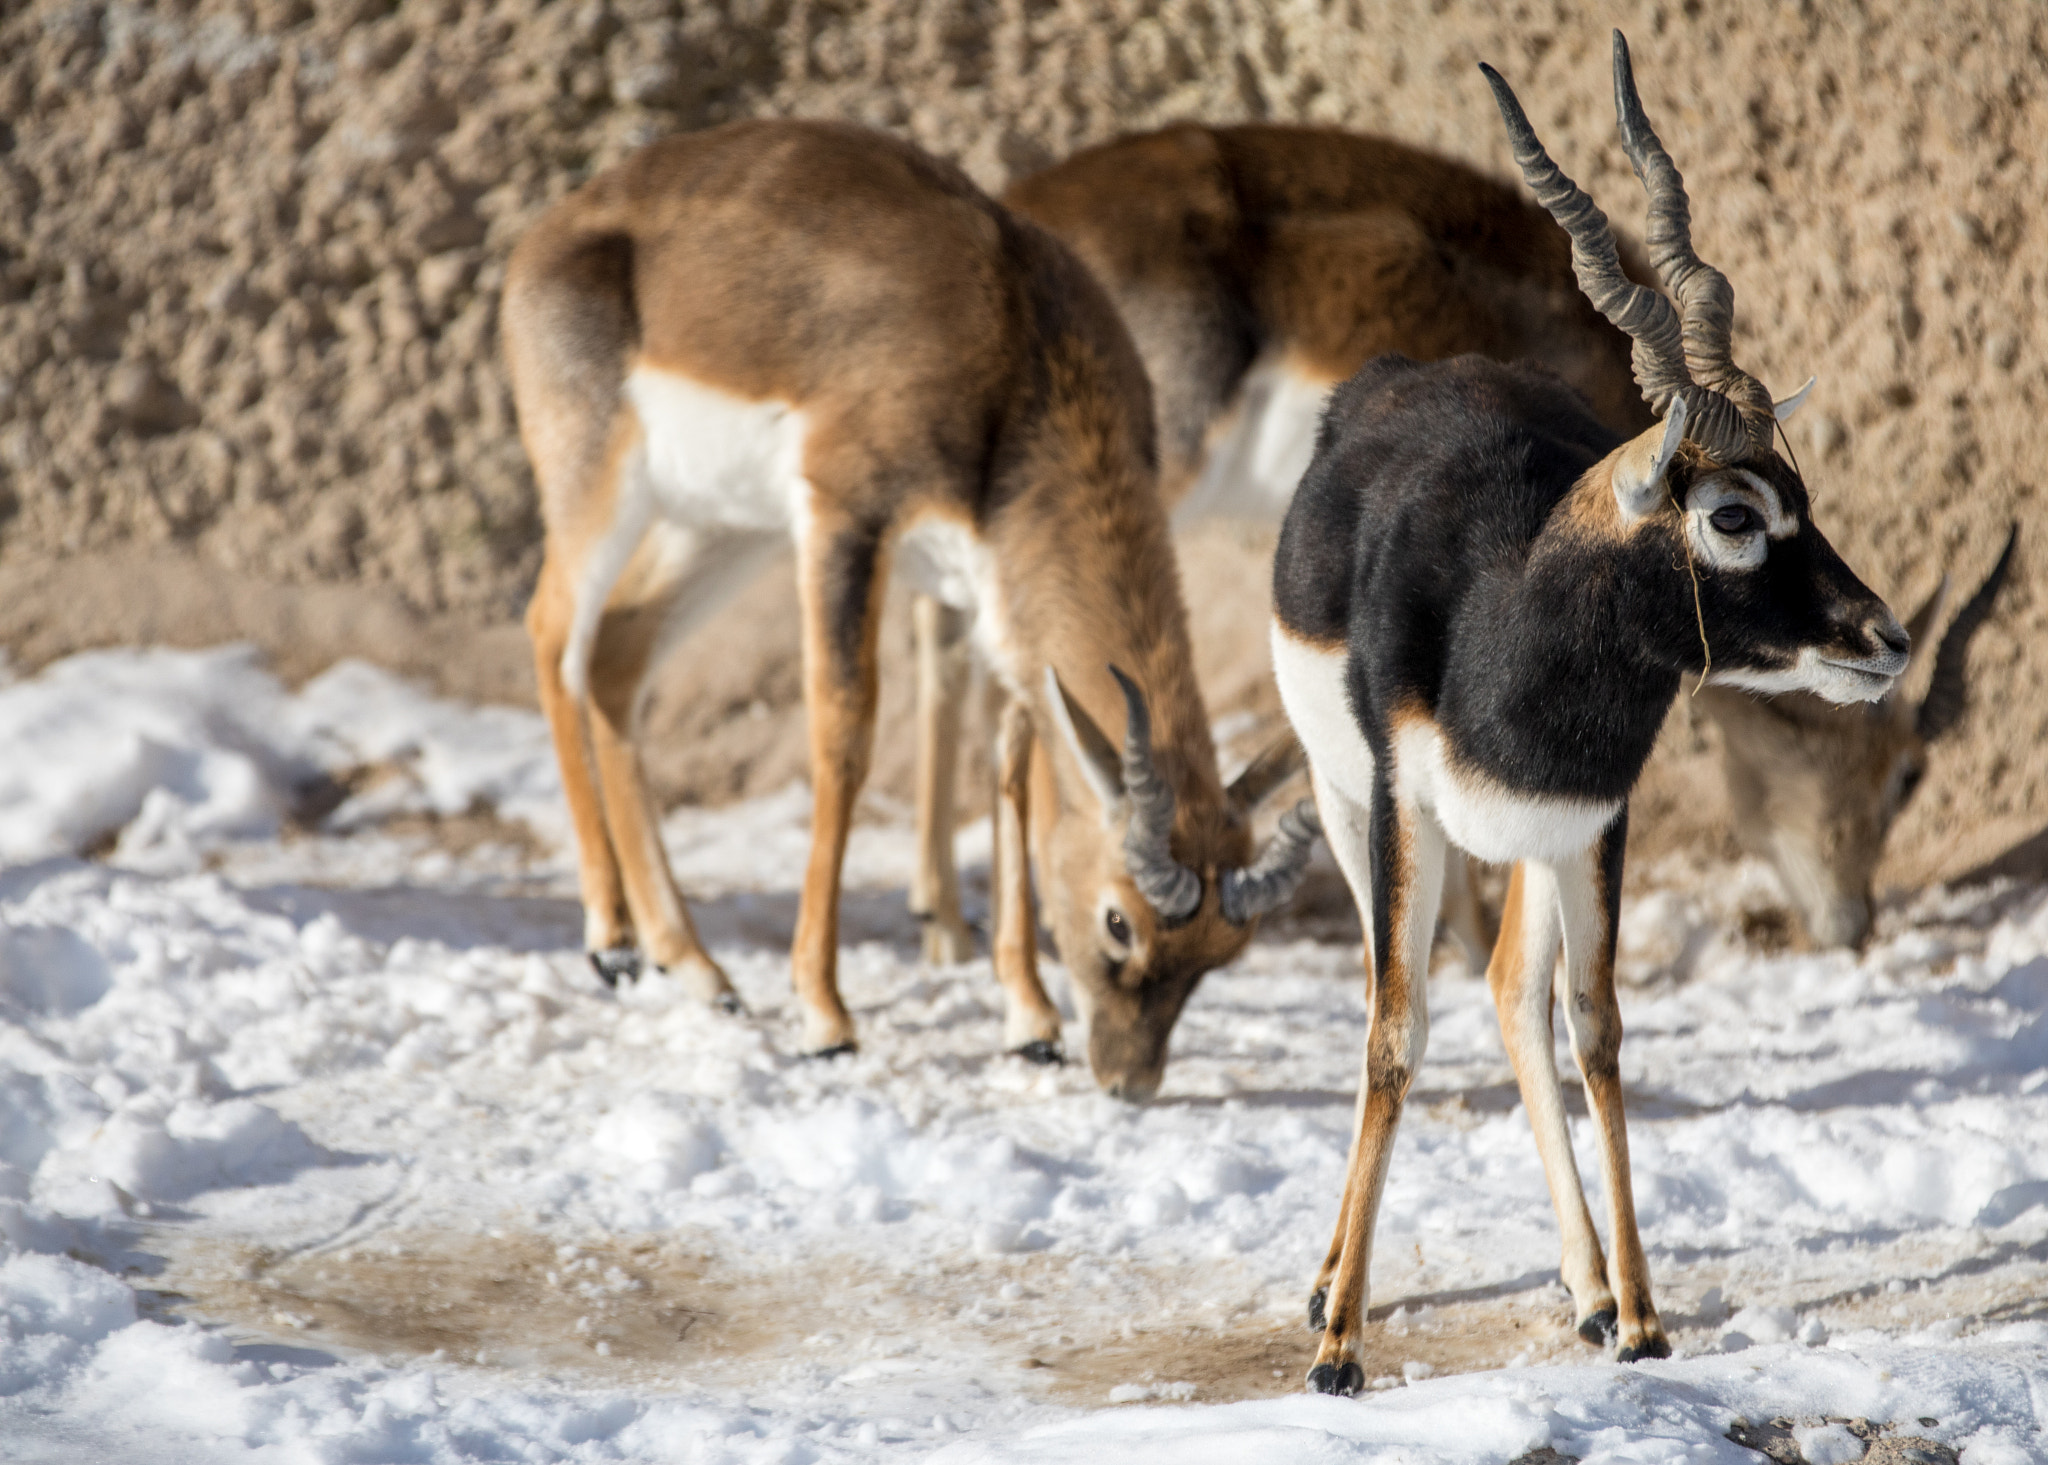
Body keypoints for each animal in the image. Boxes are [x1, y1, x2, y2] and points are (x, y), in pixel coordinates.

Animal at [503, 120, 1318, 1098]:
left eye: (1224, 950)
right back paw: (614, 943)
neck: (1016, 351)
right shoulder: (846, 517)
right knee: (553, 636)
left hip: (722, 529)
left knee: (620, 656)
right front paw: (824, 1015)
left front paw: (1029, 1018)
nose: (1129, 1081)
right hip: (602, 489)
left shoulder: (990, 596)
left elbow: (1010, 774)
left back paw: (695, 967)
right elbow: (845, 734)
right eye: (1120, 921)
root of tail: (551, 231)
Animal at [1269, 28, 1908, 1393]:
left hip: (1527, 845)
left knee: (1518, 995)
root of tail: (1405, 374)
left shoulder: (1592, 820)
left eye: (1799, 491)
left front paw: (1643, 1318)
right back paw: (1327, 1284)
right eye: (1732, 513)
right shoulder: (1405, 805)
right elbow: (1392, 1032)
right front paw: (1341, 1345)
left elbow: (1598, 1028)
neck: (1504, 642)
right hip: (1349, 804)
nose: (1880, 639)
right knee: (1388, 997)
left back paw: (1583, 1285)